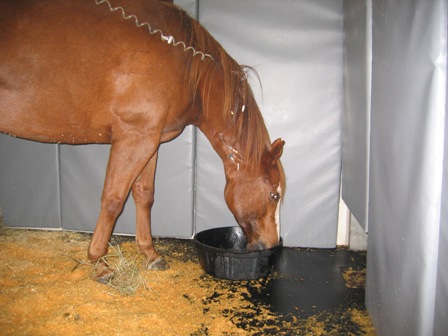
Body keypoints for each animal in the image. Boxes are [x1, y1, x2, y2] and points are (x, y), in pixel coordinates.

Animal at [0, 0, 286, 280]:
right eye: (274, 195)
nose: (273, 245)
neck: (182, 60)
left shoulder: (150, 140)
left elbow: (144, 194)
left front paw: (149, 253)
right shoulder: (133, 136)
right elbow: (113, 199)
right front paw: (99, 262)